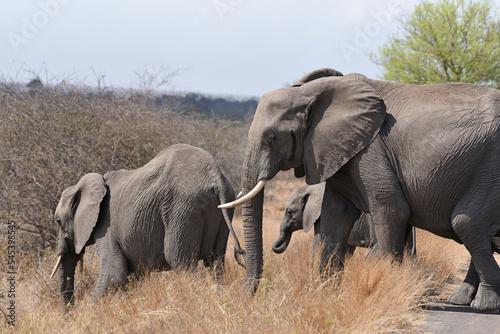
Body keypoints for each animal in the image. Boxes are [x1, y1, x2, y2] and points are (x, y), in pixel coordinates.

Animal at [51, 144, 243, 308]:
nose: (68, 315)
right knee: (216, 262)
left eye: (58, 221)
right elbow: (132, 276)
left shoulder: (106, 226)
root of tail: (215, 175)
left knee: (181, 261)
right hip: (224, 204)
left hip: (182, 209)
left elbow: (114, 274)